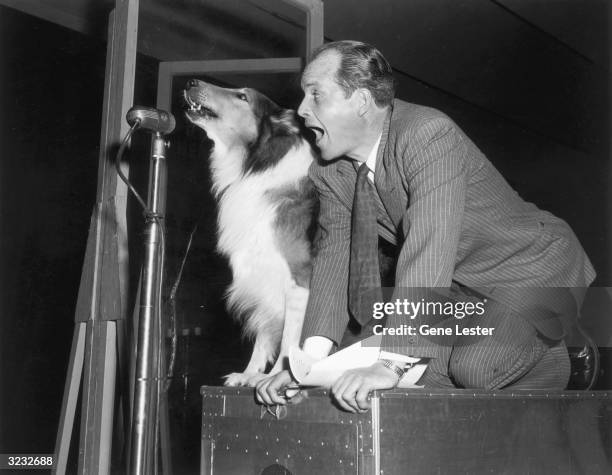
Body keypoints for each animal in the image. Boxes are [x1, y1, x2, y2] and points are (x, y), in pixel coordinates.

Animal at [183, 80, 318, 388]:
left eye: (242, 97)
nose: (192, 82)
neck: (258, 165)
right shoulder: (261, 275)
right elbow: (264, 333)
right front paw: (248, 374)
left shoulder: (299, 280)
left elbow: (289, 340)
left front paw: (276, 375)